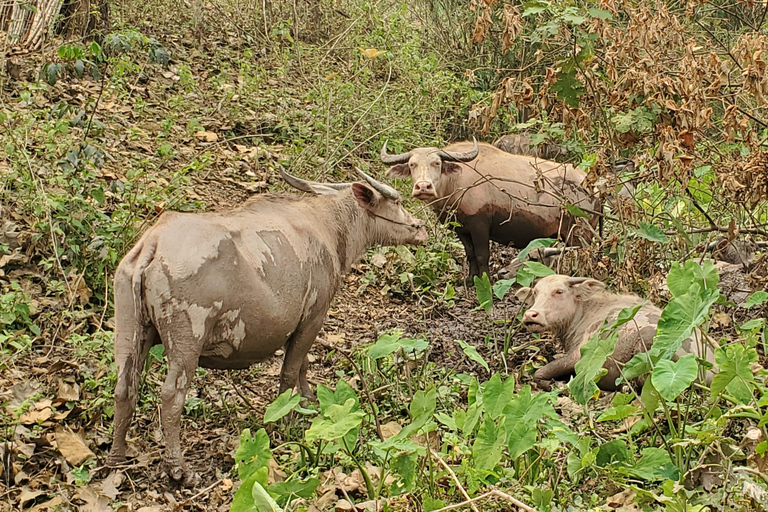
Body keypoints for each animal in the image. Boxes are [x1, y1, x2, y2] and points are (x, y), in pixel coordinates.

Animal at [109, 167, 426, 484]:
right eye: (397, 202)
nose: (420, 226)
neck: (330, 229)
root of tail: (153, 244)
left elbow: (302, 367)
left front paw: (309, 403)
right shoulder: (313, 316)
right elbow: (290, 373)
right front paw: (287, 419)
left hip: (130, 328)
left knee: (124, 387)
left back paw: (116, 457)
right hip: (187, 337)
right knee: (171, 396)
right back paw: (178, 468)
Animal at [384, 140, 600, 282]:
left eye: (437, 163)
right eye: (412, 164)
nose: (423, 187)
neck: (457, 183)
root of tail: (593, 186)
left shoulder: (480, 225)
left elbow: (482, 255)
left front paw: (485, 279)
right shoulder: (462, 230)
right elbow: (470, 254)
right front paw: (471, 280)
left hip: (580, 235)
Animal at [512, 274, 716, 390]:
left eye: (559, 291)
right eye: (536, 293)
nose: (531, 315)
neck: (584, 313)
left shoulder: (579, 356)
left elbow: (539, 373)